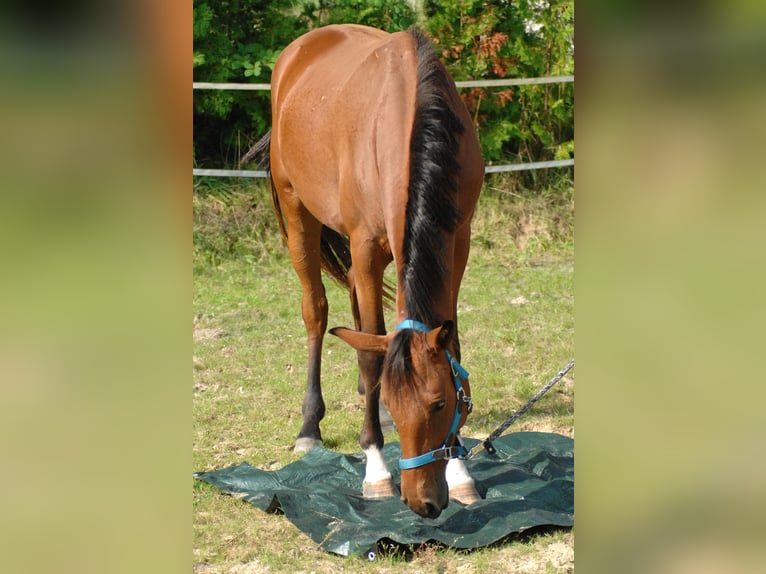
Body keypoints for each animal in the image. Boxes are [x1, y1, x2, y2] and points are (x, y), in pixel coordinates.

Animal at [244, 23, 486, 520]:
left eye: (440, 403)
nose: (421, 503)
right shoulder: (365, 245)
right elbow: (375, 354)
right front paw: (375, 467)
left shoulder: (458, 240)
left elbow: (447, 344)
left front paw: (461, 473)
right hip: (298, 214)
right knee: (318, 311)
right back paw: (311, 426)